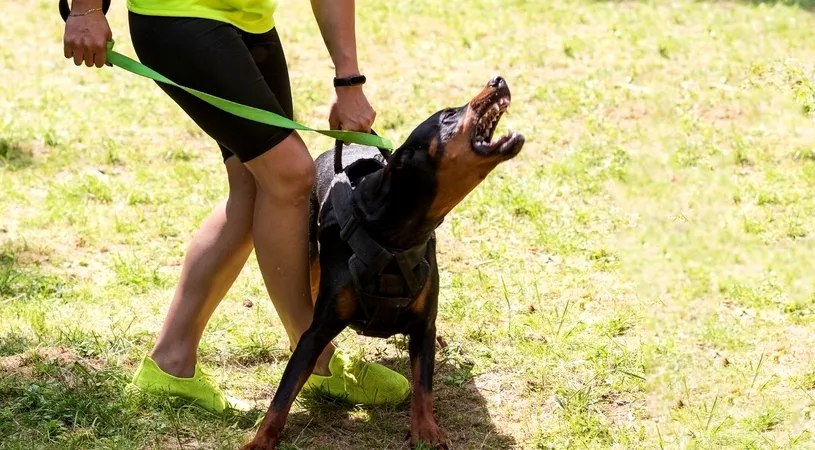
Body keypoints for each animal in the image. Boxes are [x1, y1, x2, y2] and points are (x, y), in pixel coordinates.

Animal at [239, 75, 524, 448]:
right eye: (448, 115)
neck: (393, 233)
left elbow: (423, 384)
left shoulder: (422, 326)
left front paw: (426, 429)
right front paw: (260, 441)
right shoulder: (317, 331)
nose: (497, 79)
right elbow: (284, 392)